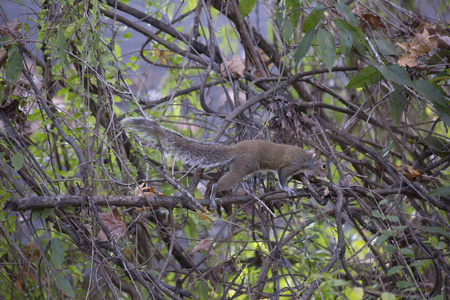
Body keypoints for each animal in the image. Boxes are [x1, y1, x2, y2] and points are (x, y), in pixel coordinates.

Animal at [123, 118, 326, 210]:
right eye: (324, 166)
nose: (325, 175)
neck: (306, 158)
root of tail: (235, 149)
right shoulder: (290, 165)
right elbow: (282, 176)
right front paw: (288, 189)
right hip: (244, 167)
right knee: (221, 183)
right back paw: (213, 194)